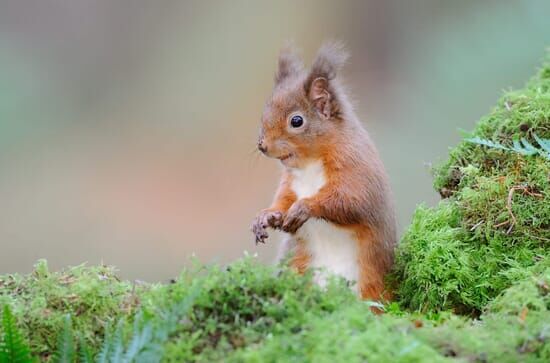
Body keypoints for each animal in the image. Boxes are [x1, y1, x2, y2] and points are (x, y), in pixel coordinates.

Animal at [252, 42, 398, 302]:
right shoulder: (290, 183)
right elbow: (283, 200)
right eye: (264, 112)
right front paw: (266, 216)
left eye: (296, 121)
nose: (262, 145)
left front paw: (303, 208)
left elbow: (351, 202)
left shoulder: (357, 170)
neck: (310, 165)